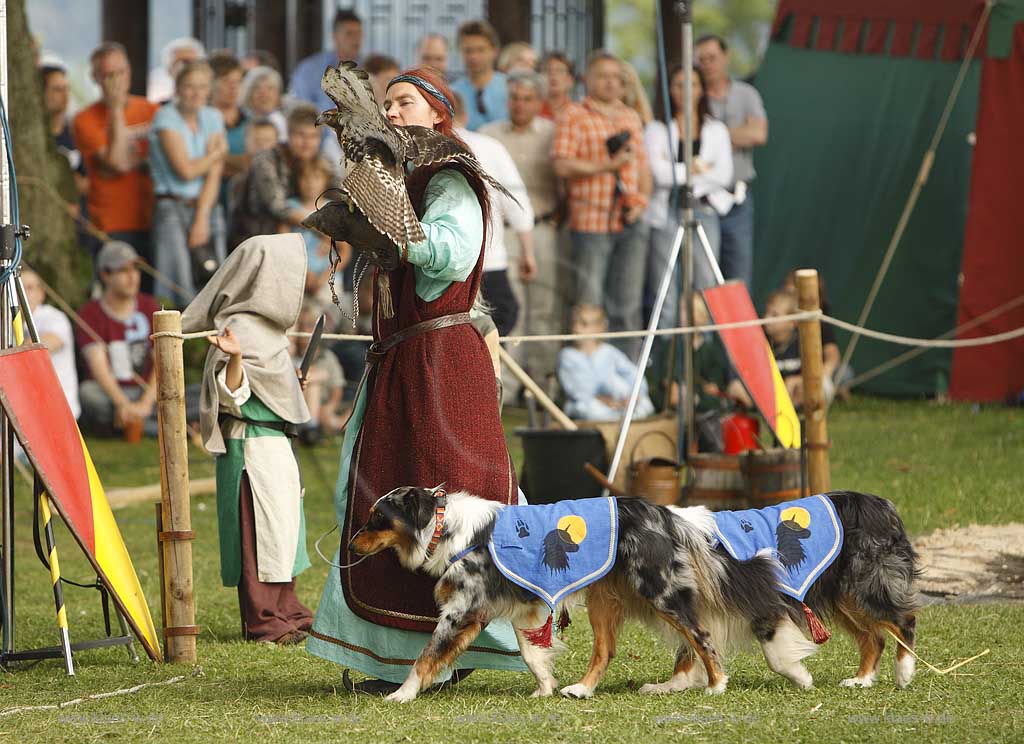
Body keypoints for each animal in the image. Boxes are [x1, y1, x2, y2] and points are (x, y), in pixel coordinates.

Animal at [346, 489, 921, 704]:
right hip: (613, 600)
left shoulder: (463, 610)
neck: (447, 527)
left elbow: (425, 657)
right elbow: (533, 653)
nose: (348, 542)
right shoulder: (518, 607)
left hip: (662, 592)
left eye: (375, 518)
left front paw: (400, 695)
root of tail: (663, 513)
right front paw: (546, 686)